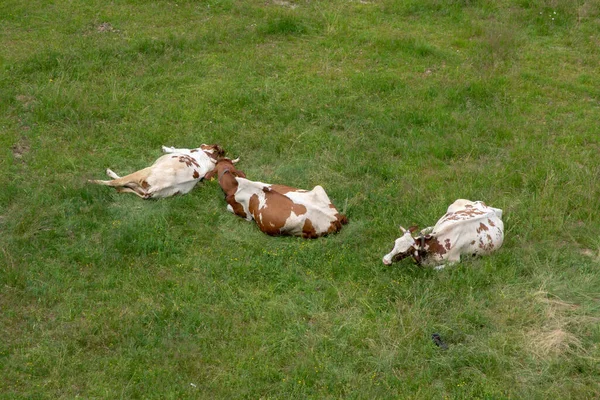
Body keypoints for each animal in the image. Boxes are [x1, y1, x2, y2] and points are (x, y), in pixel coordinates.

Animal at [90, 145, 226, 199]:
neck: (209, 158)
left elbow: (176, 149)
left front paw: (166, 148)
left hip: (143, 172)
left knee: (117, 182)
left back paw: (92, 180)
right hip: (145, 188)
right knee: (125, 185)